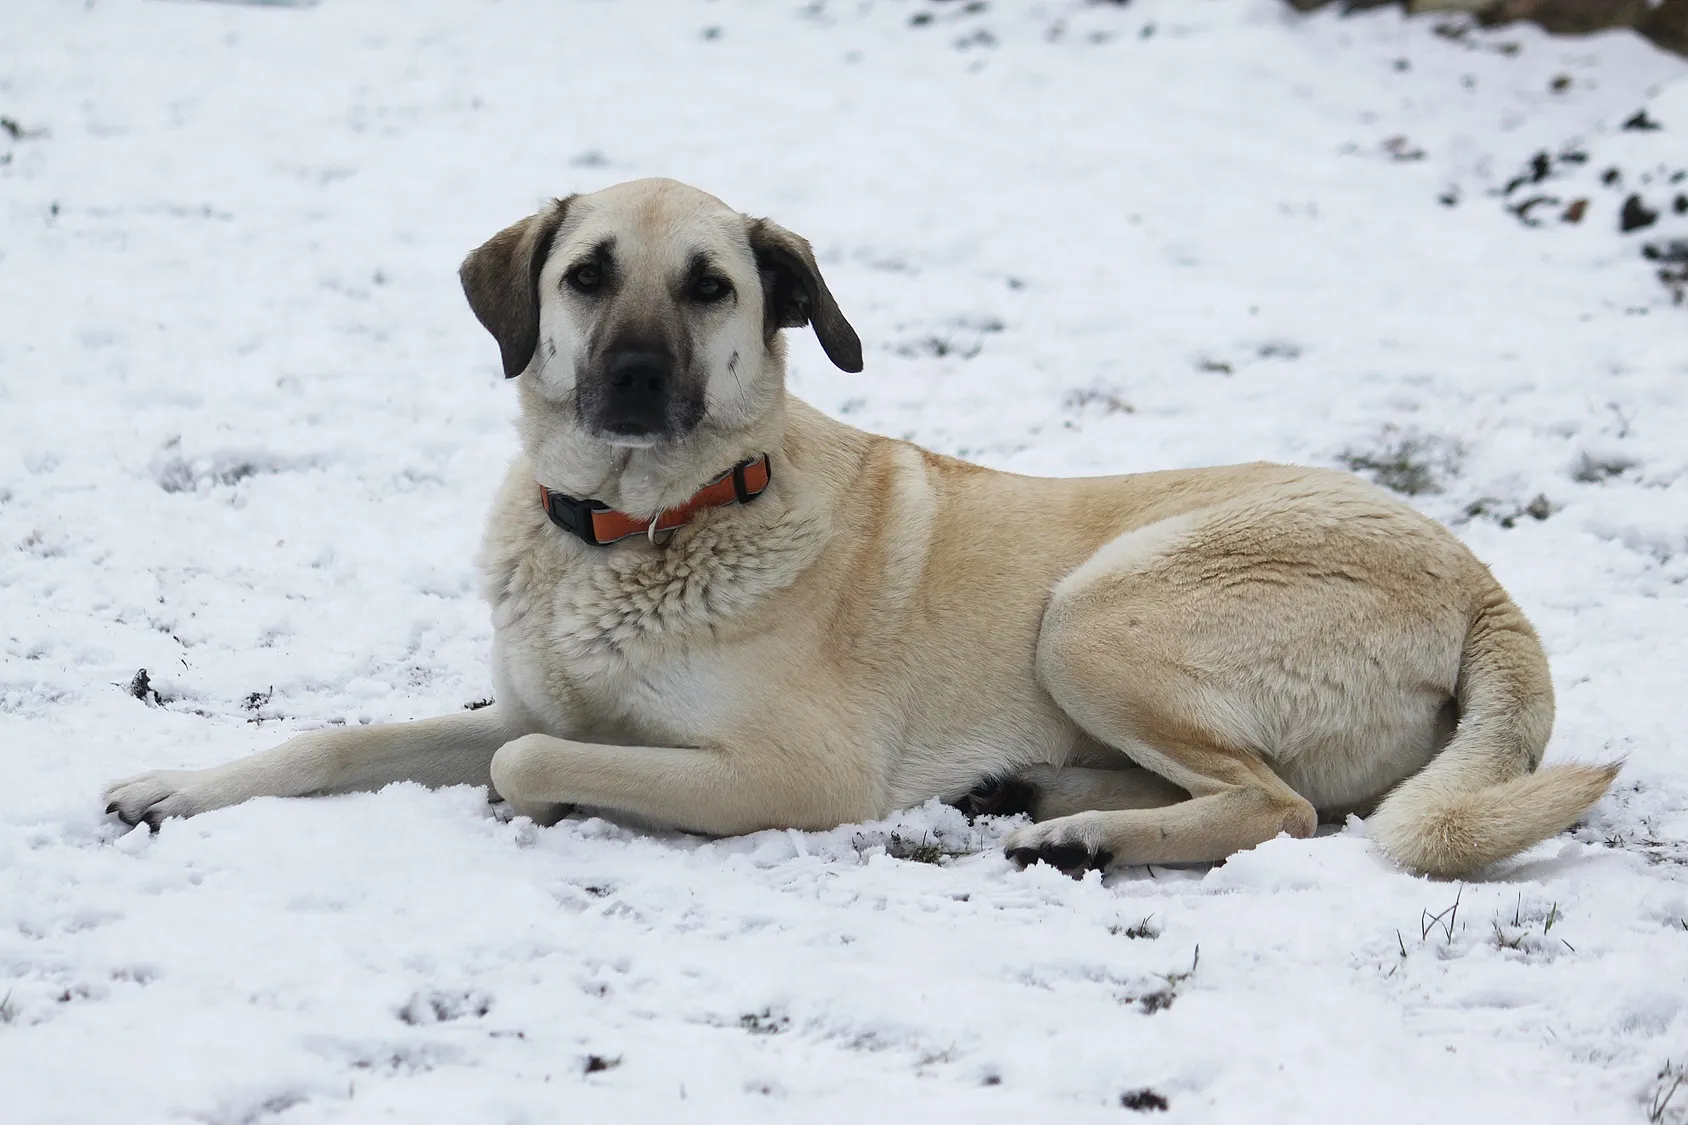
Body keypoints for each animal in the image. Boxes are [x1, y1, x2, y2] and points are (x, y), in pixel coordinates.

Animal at [102, 177, 1606, 878]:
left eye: (710, 287)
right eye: (587, 275)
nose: (633, 381)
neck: (639, 528)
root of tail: (1484, 586)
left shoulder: (789, 772)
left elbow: (528, 762)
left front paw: (547, 796)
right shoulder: (533, 693)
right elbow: (347, 739)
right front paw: (174, 787)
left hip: (1097, 605)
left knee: (1283, 806)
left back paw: (1080, 837)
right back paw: (1038, 800)